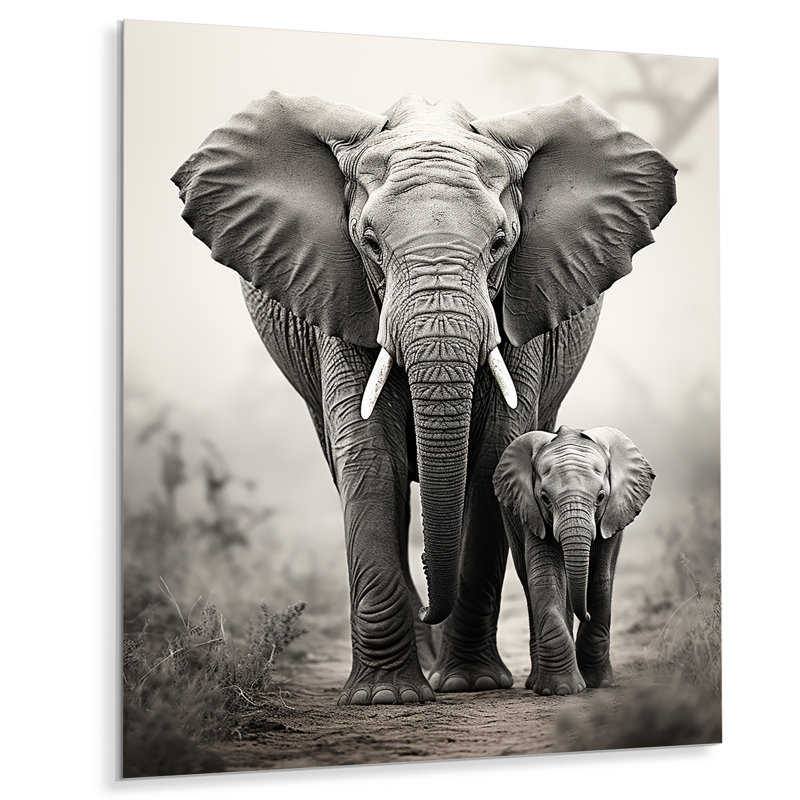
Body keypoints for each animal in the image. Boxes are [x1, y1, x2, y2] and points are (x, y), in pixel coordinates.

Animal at [493, 425, 655, 695]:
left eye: (600, 497)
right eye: (545, 499)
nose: (585, 614)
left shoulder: (612, 515)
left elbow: (600, 580)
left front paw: (599, 683)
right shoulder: (533, 515)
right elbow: (546, 578)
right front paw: (561, 689)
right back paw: (535, 683)